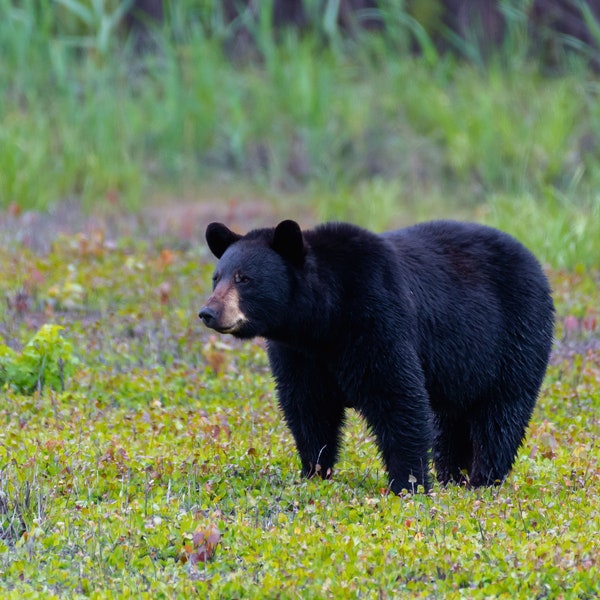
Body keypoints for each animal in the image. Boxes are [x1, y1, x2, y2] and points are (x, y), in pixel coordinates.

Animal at [199, 220, 556, 492]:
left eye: (244, 278)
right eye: (216, 277)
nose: (208, 312)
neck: (323, 320)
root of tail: (534, 261)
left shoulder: (376, 317)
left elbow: (397, 397)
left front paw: (408, 483)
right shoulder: (300, 354)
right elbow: (308, 407)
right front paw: (314, 471)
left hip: (517, 335)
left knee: (502, 413)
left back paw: (483, 479)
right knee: (452, 420)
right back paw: (452, 476)